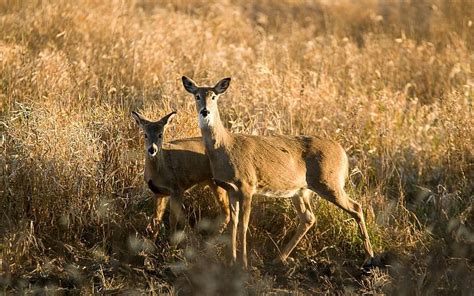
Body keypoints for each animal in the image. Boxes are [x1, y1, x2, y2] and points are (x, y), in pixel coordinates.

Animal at [131, 110, 231, 240]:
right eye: (145, 135)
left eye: (160, 134)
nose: (152, 149)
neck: (160, 172)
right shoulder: (159, 193)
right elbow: (156, 220)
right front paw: (151, 241)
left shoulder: (177, 189)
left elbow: (173, 219)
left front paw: (171, 242)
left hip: (218, 181)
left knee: (227, 212)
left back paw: (212, 239)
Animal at [181, 76, 374, 270]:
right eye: (197, 96)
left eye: (214, 96)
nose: (205, 111)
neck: (226, 146)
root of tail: (343, 153)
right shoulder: (231, 189)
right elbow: (233, 224)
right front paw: (231, 261)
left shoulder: (247, 185)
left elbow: (244, 225)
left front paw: (243, 264)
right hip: (301, 190)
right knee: (309, 217)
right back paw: (279, 258)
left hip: (329, 182)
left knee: (356, 207)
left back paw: (369, 257)